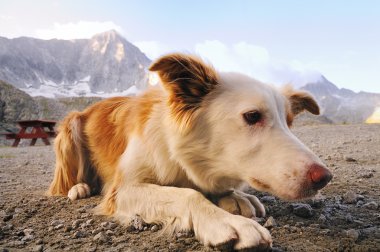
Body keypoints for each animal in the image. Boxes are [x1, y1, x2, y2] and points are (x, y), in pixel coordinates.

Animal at [48, 52, 332, 250]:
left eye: (289, 122)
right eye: (252, 116)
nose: (325, 177)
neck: (182, 158)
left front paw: (236, 196)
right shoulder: (122, 189)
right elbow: (187, 195)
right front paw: (227, 222)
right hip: (70, 127)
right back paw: (79, 188)